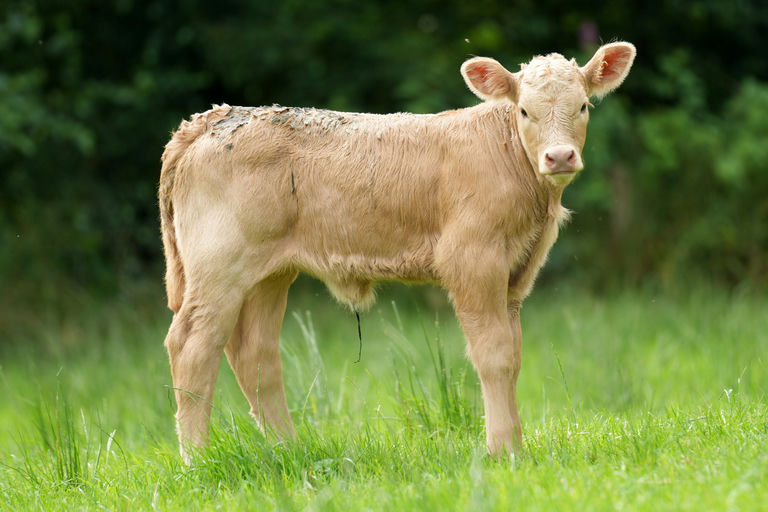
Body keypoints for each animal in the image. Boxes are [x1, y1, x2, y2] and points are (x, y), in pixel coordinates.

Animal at [159, 42, 635, 463]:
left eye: (583, 106)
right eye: (524, 111)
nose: (560, 156)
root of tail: (214, 116)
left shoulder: (517, 273)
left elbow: (514, 356)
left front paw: (515, 446)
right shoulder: (473, 259)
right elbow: (495, 355)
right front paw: (504, 452)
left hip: (268, 273)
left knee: (255, 354)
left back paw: (288, 451)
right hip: (219, 267)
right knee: (192, 345)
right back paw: (197, 460)